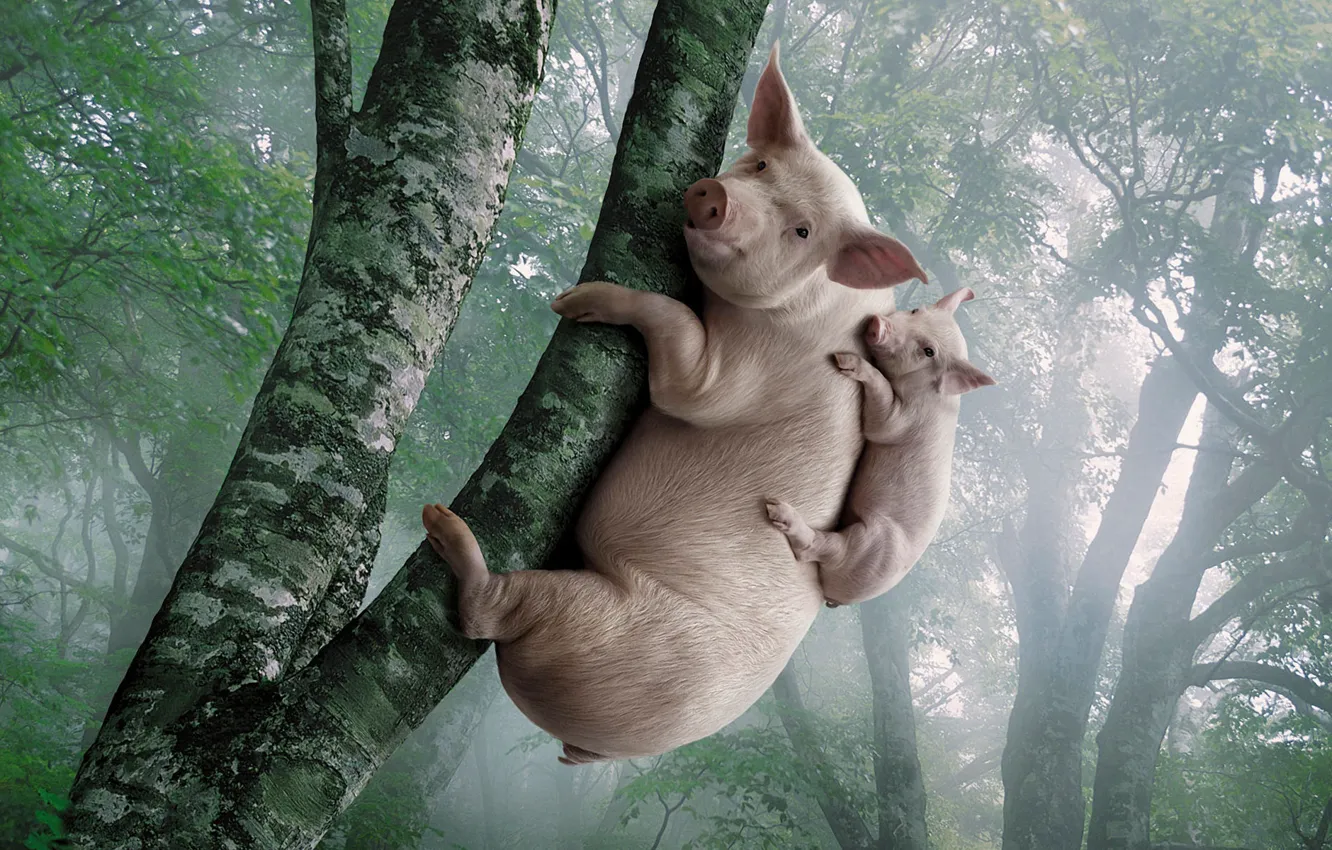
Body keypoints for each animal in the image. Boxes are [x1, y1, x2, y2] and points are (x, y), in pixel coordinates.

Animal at [421, 45, 925, 766]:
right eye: (761, 165)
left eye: (802, 231)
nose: (716, 196)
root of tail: (595, 744)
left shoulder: (745, 372)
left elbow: (683, 365)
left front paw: (572, 303)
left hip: (595, 625)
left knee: (489, 614)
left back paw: (443, 526)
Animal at [765, 288, 995, 607]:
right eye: (916, 311)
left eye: (929, 352)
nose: (878, 324)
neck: (928, 392)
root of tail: (838, 597)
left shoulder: (902, 419)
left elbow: (881, 416)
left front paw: (844, 361)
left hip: (868, 545)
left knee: (818, 549)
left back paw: (776, 510)